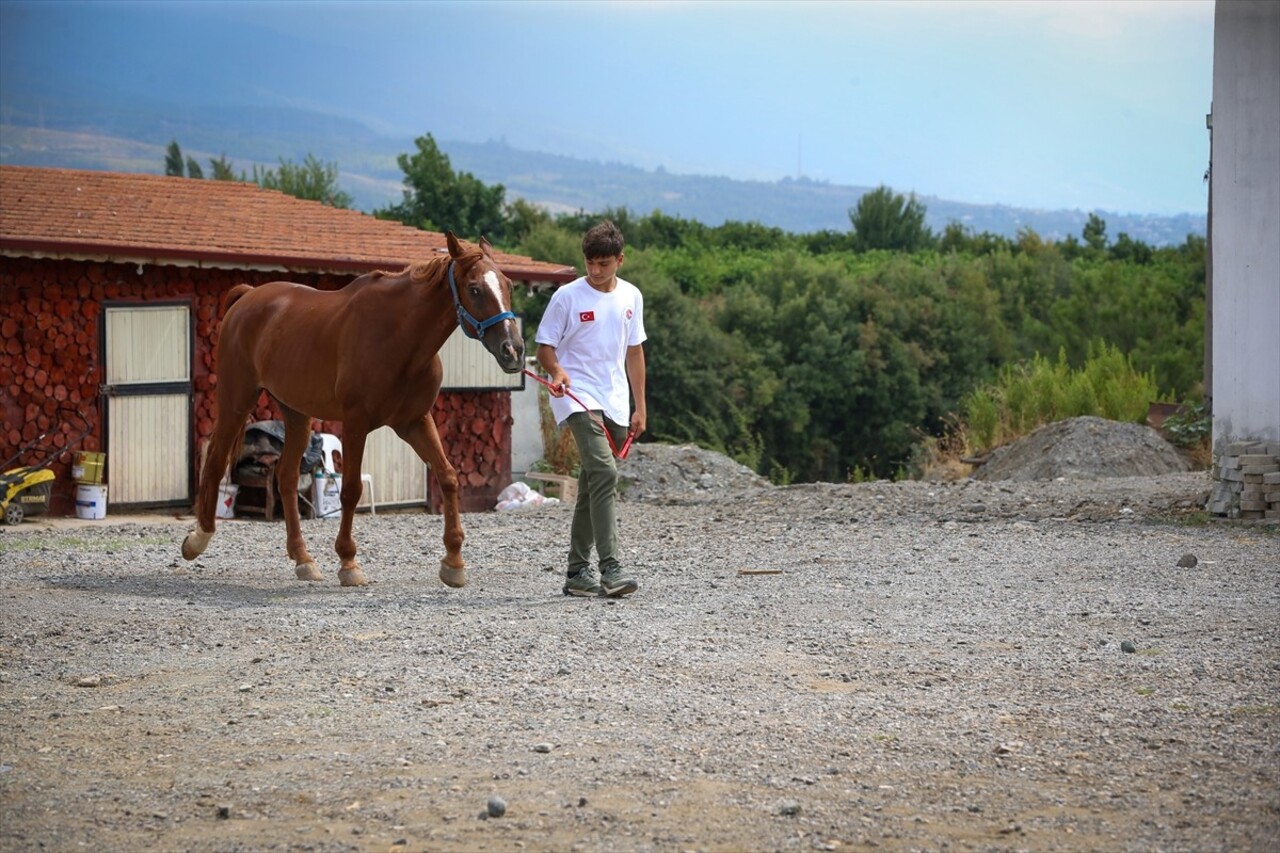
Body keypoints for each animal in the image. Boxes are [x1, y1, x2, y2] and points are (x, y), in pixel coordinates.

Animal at [179, 233, 519, 584]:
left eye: (508, 285)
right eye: (475, 289)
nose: (513, 351)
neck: (400, 338)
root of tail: (247, 297)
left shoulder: (414, 422)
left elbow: (448, 477)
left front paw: (453, 562)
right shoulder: (356, 423)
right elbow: (351, 490)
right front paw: (348, 562)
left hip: (296, 413)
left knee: (286, 477)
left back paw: (303, 558)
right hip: (236, 400)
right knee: (216, 461)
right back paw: (197, 539)